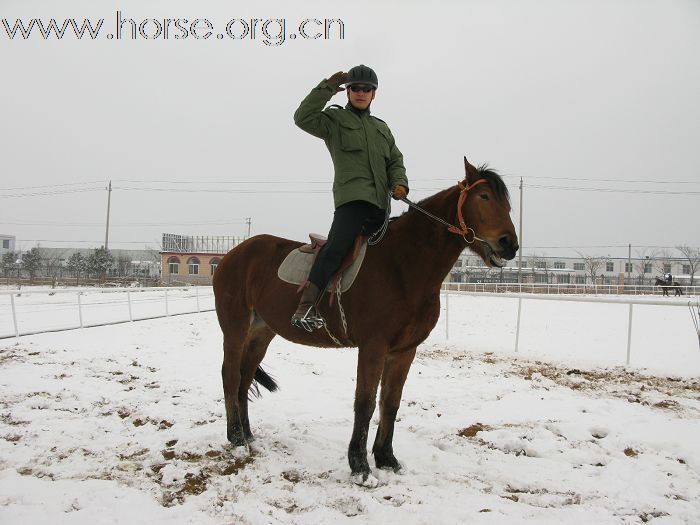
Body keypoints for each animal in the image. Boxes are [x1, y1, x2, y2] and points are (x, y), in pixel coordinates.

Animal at [213, 156, 520, 484]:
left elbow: (390, 403)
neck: (402, 265)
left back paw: (248, 435)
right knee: (230, 376)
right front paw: (359, 465)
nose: (509, 244)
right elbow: (365, 402)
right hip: (235, 328)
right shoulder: (373, 346)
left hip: (261, 333)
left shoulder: (404, 351)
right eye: (484, 196)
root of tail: (232, 255)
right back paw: (235, 438)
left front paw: (386, 458)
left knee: (244, 378)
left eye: (506, 202)